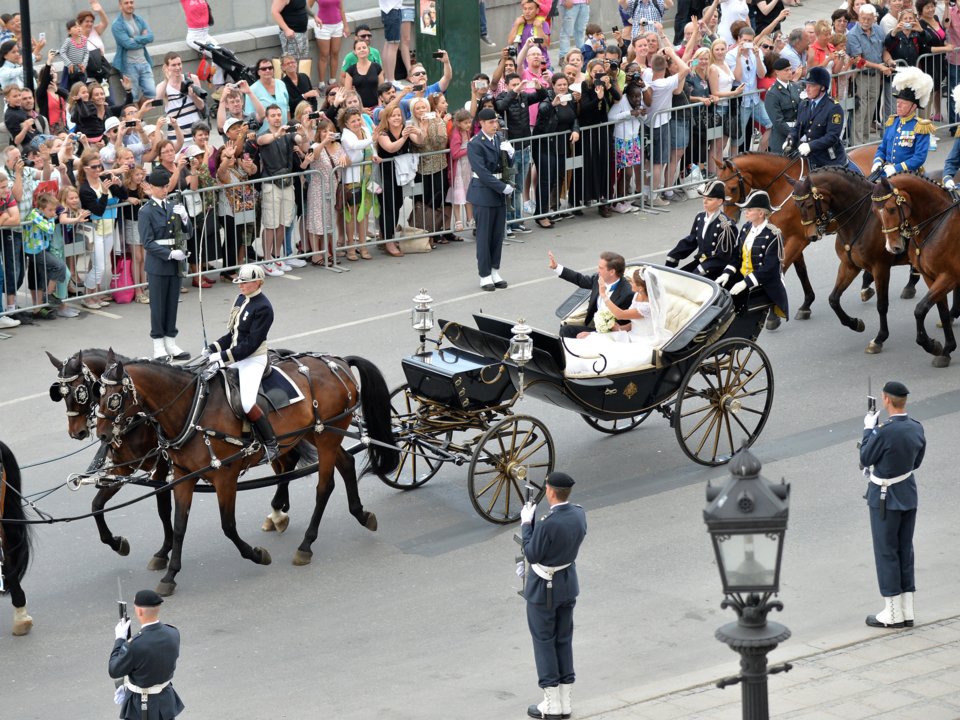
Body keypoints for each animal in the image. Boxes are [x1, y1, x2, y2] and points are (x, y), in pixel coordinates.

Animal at [94, 350, 398, 596]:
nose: (103, 435)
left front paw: (256, 554)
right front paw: (170, 574)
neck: (193, 409)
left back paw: (306, 544)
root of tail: (338, 361)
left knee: (324, 487)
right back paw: (361, 514)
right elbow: (179, 526)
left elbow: (228, 525)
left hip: (325, 437)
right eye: (97, 394)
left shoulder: (224, 476)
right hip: (319, 434)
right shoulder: (183, 476)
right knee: (345, 464)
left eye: (114, 399)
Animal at [716, 149, 880, 330]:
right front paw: (806, 304)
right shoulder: (788, 237)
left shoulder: (799, 239)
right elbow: (800, 270)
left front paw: (773, 314)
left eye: (732, 188)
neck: (781, 187)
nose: (729, 219)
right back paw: (867, 285)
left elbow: (782, 269)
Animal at [788, 166, 916, 352]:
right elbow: (833, 299)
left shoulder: (881, 268)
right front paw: (855, 323)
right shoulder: (849, 265)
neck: (860, 218)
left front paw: (879, 338)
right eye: (796, 206)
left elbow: (881, 304)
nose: (811, 236)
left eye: (810, 204)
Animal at [872, 174, 960, 366]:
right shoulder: (931, 277)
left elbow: (920, 309)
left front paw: (931, 345)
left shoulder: (949, 277)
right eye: (874, 211)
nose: (892, 247)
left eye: (891, 209)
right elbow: (941, 311)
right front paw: (945, 350)